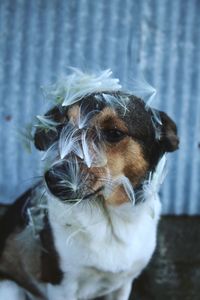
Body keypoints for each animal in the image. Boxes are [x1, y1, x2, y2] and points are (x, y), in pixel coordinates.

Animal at [0, 69, 178, 298]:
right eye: (59, 129)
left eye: (114, 133)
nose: (53, 178)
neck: (109, 222)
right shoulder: (60, 285)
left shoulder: (123, 284)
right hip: (10, 288)